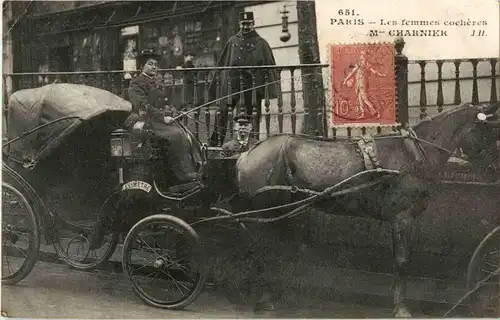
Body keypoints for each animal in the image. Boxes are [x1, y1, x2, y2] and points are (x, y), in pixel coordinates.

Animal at [232, 103, 498, 318]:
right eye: (487, 132)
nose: (494, 170)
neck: (412, 153)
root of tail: (247, 154)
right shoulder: (402, 218)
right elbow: (402, 261)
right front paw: (401, 307)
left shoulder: (409, 219)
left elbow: (404, 259)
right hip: (264, 212)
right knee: (258, 248)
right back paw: (262, 296)